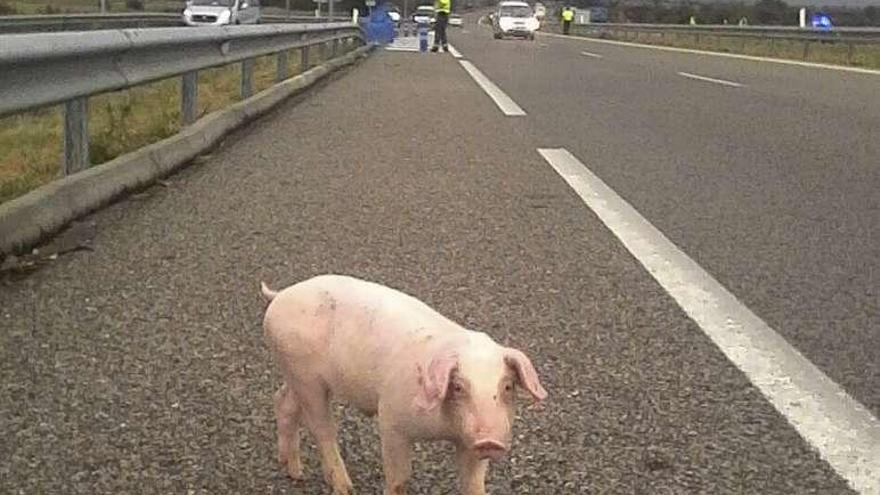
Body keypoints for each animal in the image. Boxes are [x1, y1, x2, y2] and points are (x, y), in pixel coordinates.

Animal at [258, 276, 548, 495]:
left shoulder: (469, 442)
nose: (490, 441)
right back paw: (344, 488)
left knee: (283, 401)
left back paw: (294, 472)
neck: (445, 430)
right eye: (458, 386)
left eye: (507, 386)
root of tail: (281, 294)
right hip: (307, 377)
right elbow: (399, 479)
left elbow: (474, 484)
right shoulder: (391, 420)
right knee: (322, 428)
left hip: (294, 373)